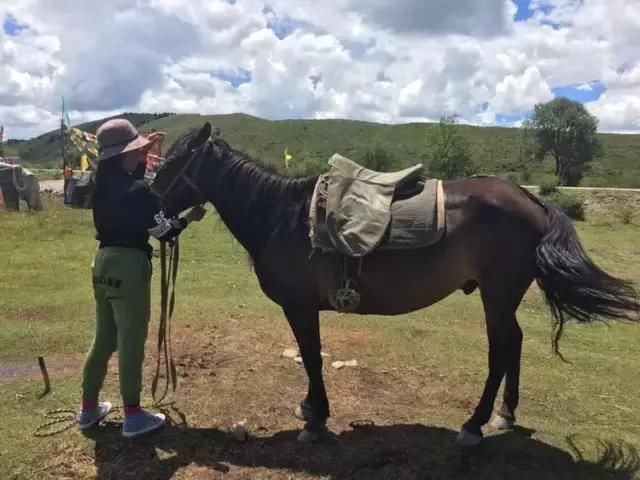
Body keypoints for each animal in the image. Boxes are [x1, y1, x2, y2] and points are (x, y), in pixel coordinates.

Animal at [151, 123, 640, 446]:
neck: (283, 217)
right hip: (503, 297)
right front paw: (310, 409)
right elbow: (311, 357)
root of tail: (532, 200)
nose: (150, 198)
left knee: (501, 350)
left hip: (498, 296)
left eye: (172, 161)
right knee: (515, 343)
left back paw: (473, 425)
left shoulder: (300, 306)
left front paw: (315, 419)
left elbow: (311, 357)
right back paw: (504, 414)